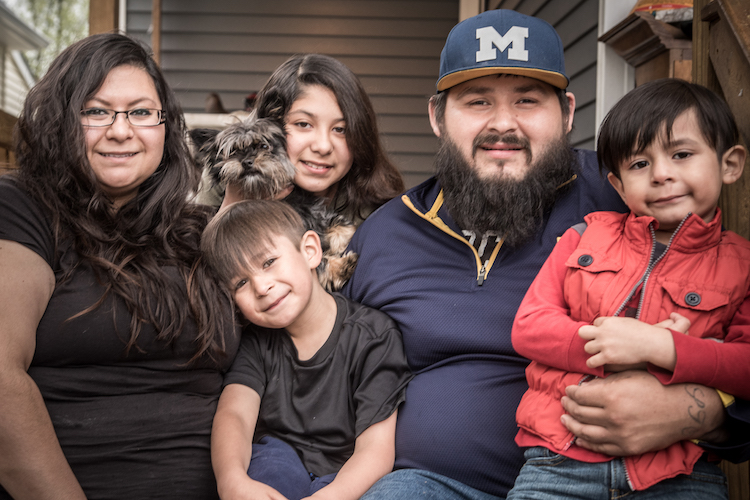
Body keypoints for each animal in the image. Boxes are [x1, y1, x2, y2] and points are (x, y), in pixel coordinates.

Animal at [192, 114, 360, 292]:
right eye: (232, 152)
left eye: (264, 145)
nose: (246, 161)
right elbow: (317, 259)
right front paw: (340, 267)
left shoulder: (315, 214)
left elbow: (343, 228)